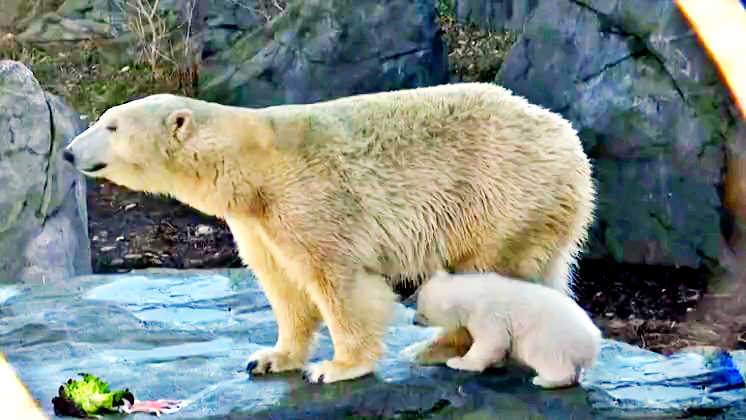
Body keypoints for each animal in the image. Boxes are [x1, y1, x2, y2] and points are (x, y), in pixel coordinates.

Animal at [411, 270, 602, 388]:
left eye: (423, 313)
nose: (413, 321)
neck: (472, 290)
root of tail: (592, 344)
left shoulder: (487, 313)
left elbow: (492, 341)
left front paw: (458, 362)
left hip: (551, 337)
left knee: (545, 355)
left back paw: (544, 380)